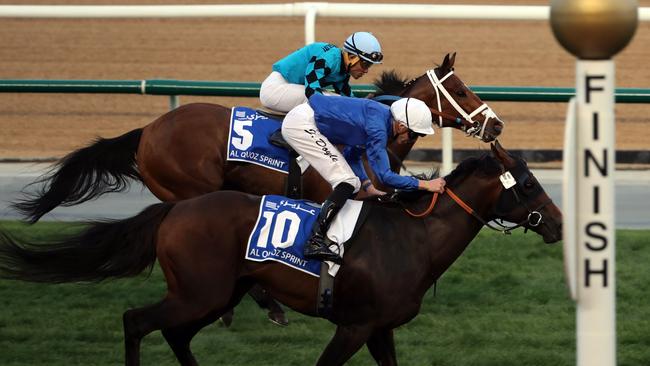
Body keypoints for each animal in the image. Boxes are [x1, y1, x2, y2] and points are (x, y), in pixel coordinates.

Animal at [0, 142, 556, 366]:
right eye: (528, 184)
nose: (558, 223)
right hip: (199, 293)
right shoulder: (354, 326)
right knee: (136, 321)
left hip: (218, 294)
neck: (412, 238)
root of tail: (175, 210)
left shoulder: (379, 328)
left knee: (176, 335)